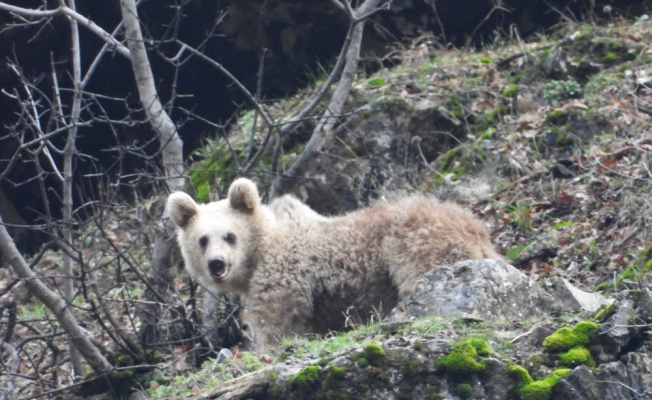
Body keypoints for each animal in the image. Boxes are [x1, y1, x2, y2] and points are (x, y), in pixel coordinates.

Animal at [167, 178, 500, 350]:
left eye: (230, 235)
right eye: (202, 239)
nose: (217, 264)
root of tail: (477, 228)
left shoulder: (283, 278)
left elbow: (277, 326)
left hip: (414, 242)